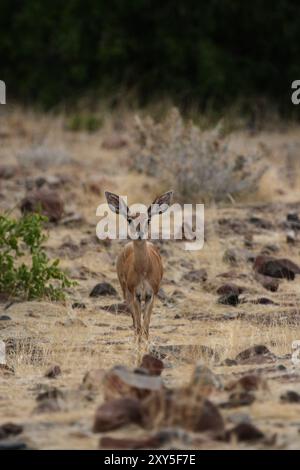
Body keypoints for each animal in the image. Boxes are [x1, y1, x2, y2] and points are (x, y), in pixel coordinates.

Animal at [105, 191, 172, 342]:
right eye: (129, 219)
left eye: (148, 220)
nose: (139, 234)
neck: (143, 271)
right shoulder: (136, 295)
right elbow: (139, 325)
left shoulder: (150, 296)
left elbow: (146, 326)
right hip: (126, 293)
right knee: (134, 322)